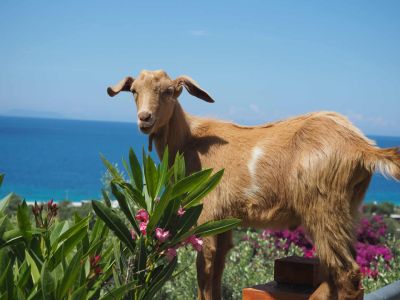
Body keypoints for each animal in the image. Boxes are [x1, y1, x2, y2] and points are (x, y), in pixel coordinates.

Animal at [107, 69, 400, 300]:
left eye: (169, 91)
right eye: (134, 91)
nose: (145, 118)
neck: (189, 141)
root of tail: (362, 147)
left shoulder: (207, 213)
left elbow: (204, 273)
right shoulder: (224, 221)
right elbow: (217, 272)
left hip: (322, 204)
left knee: (345, 274)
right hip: (349, 206)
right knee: (337, 272)